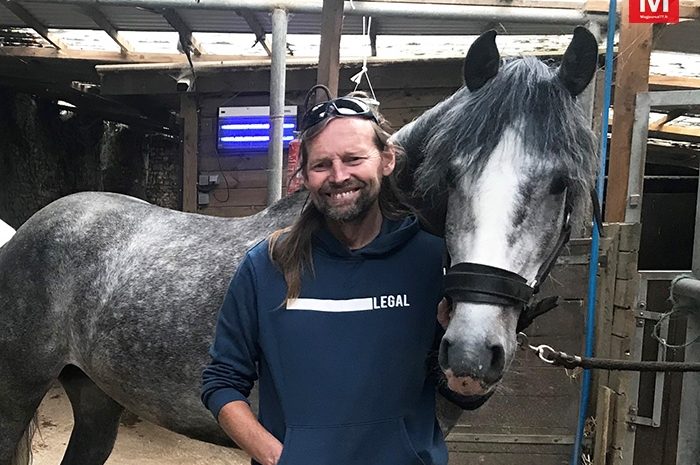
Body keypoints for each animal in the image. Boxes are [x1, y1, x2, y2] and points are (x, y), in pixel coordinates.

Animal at [1, 27, 596, 462]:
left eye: (562, 182)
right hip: (16, 396)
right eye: (451, 176)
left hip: (96, 400)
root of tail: (29, 229)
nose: (471, 350)